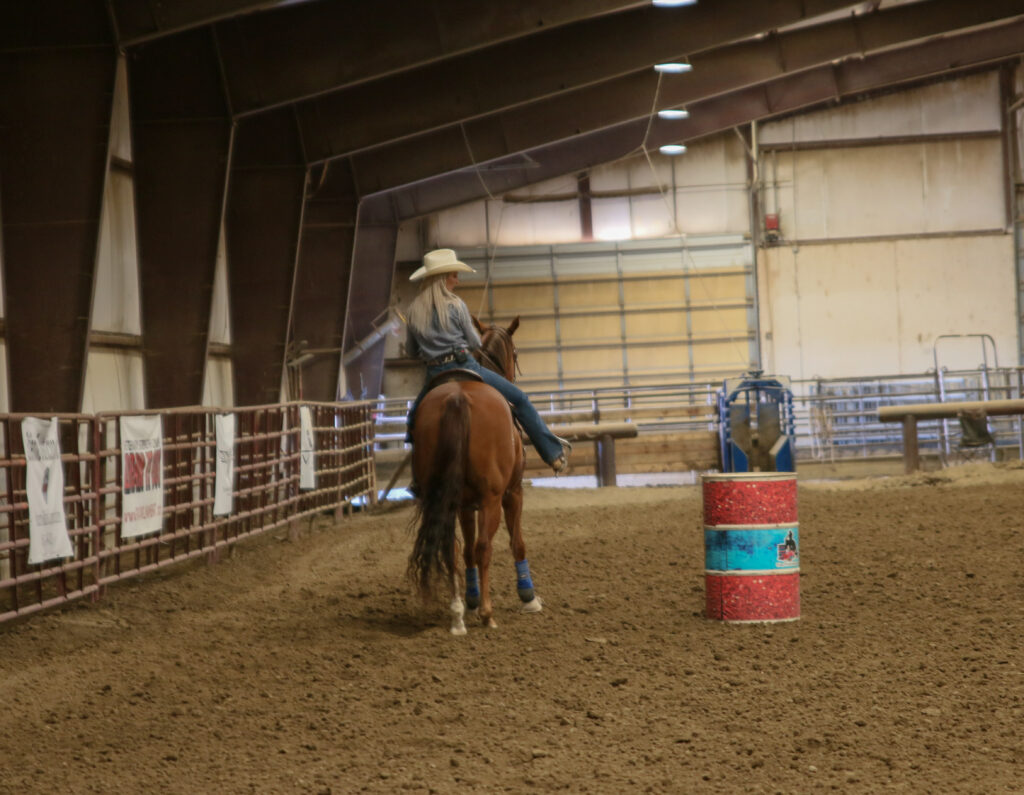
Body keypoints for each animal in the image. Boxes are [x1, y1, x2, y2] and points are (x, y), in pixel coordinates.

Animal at [407, 316, 542, 635]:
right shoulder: (513, 492)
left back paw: (458, 616)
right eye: (515, 353)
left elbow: (465, 549)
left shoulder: (465, 504)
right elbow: (516, 542)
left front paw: (470, 599)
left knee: (451, 547)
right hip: (493, 498)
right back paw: (487, 613)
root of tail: (457, 398)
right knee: (484, 548)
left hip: (442, 496)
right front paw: (528, 597)